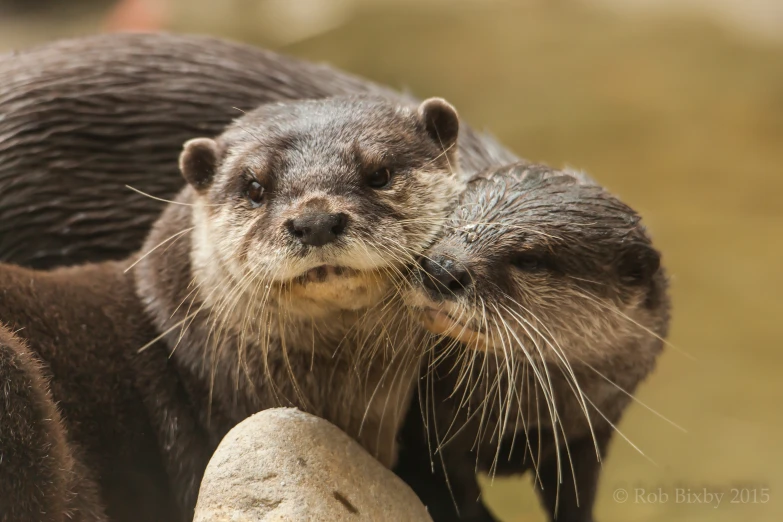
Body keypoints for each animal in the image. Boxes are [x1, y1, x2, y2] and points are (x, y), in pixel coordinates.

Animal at [396, 160, 672, 516]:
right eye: (445, 223)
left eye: (529, 260)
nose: (442, 268)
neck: (522, 415)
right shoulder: (428, 434)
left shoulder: (592, 430)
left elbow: (575, 497)